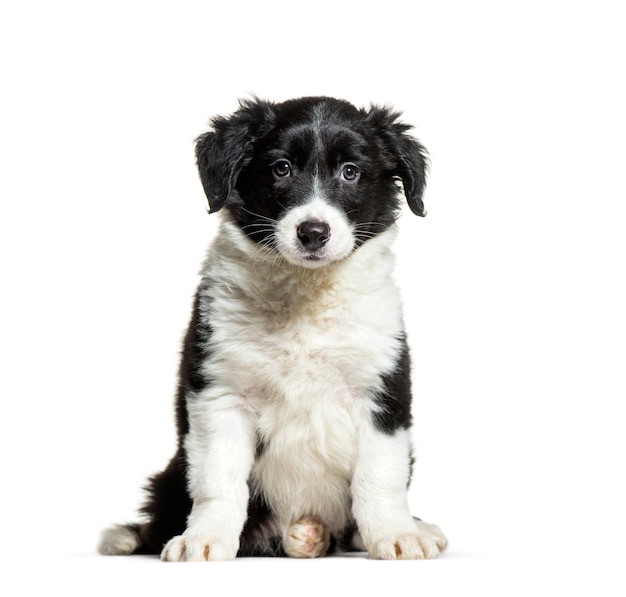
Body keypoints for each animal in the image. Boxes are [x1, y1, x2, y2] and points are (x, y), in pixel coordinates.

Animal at [100, 94, 446, 560]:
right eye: (281, 168)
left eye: (350, 171)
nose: (313, 232)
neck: (305, 293)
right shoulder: (220, 393)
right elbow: (218, 478)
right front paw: (205, 538)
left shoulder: (383, 389)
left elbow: (380, 475)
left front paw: (396, 534)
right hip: (173, 471)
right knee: (161, 517)